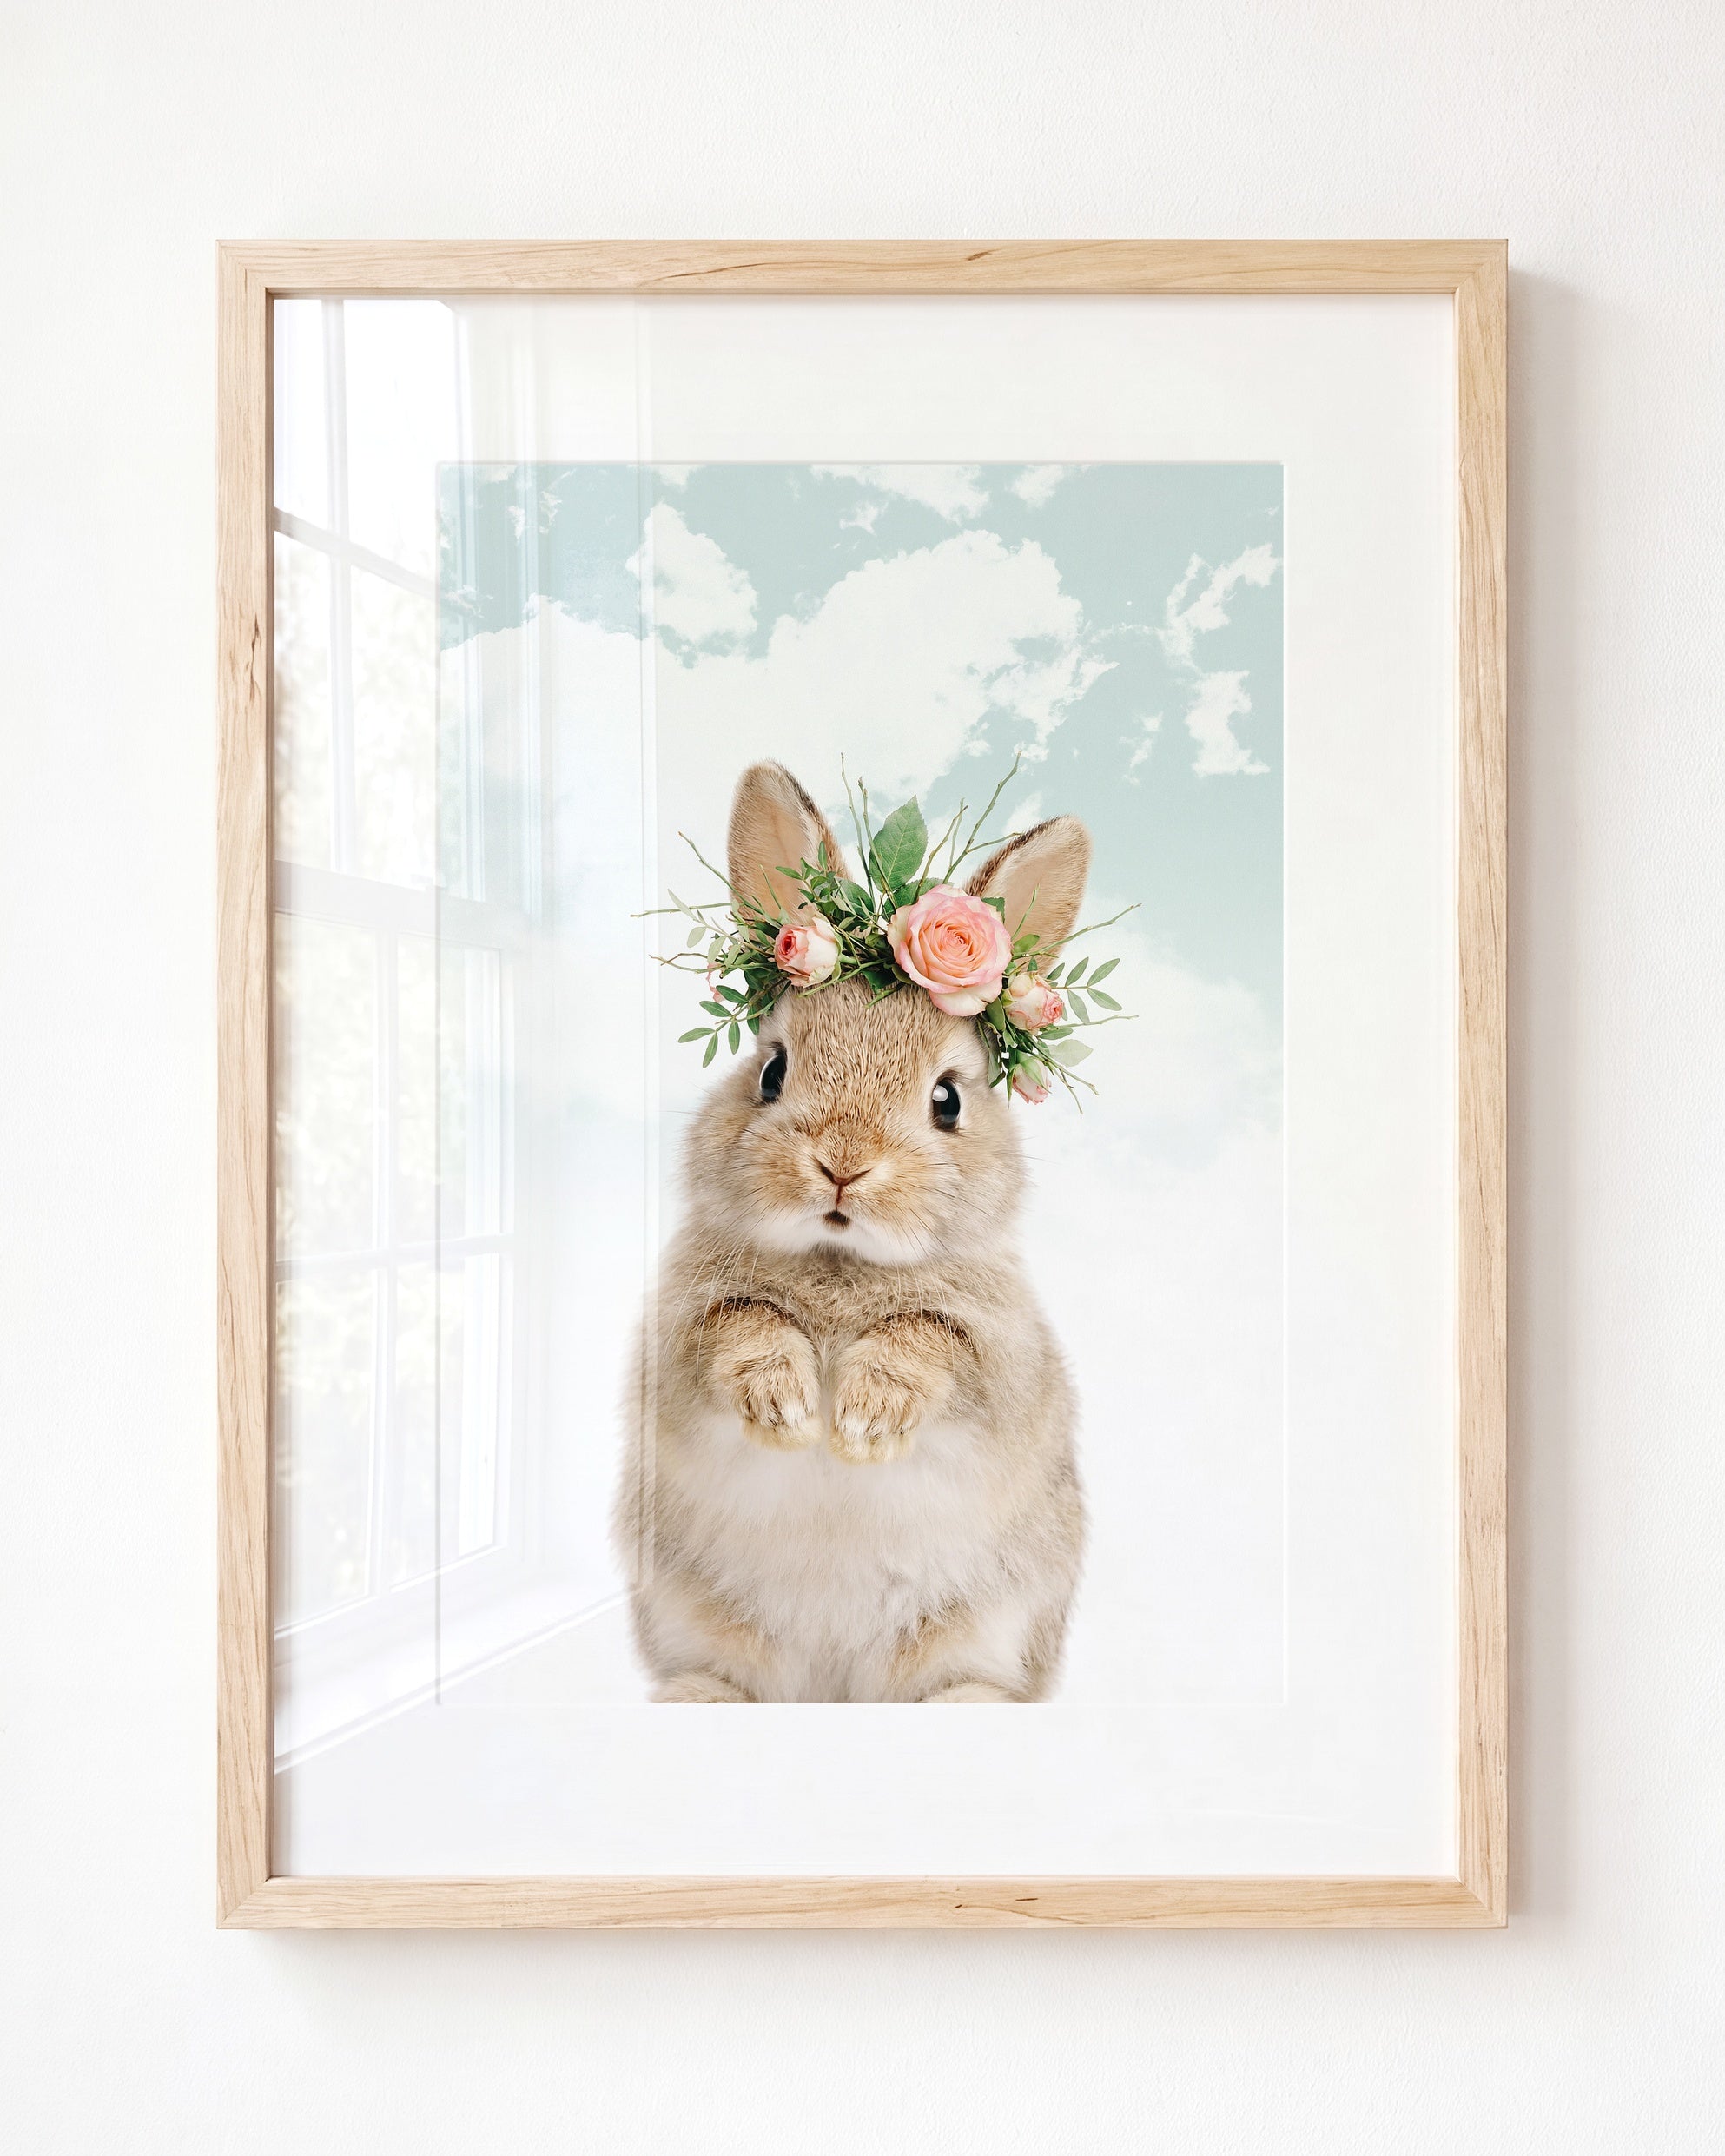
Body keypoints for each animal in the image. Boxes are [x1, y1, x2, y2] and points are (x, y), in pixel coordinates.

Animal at [614, 760, 1088, 1702]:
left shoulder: (1002, 1358)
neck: (840, 1261)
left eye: (947, 1099)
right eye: (770, 1070)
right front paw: (788, 1406)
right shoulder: (679, 1338)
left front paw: (864, 1420)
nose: (842, 1164)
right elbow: (740, 1325)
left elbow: (932, 1340)